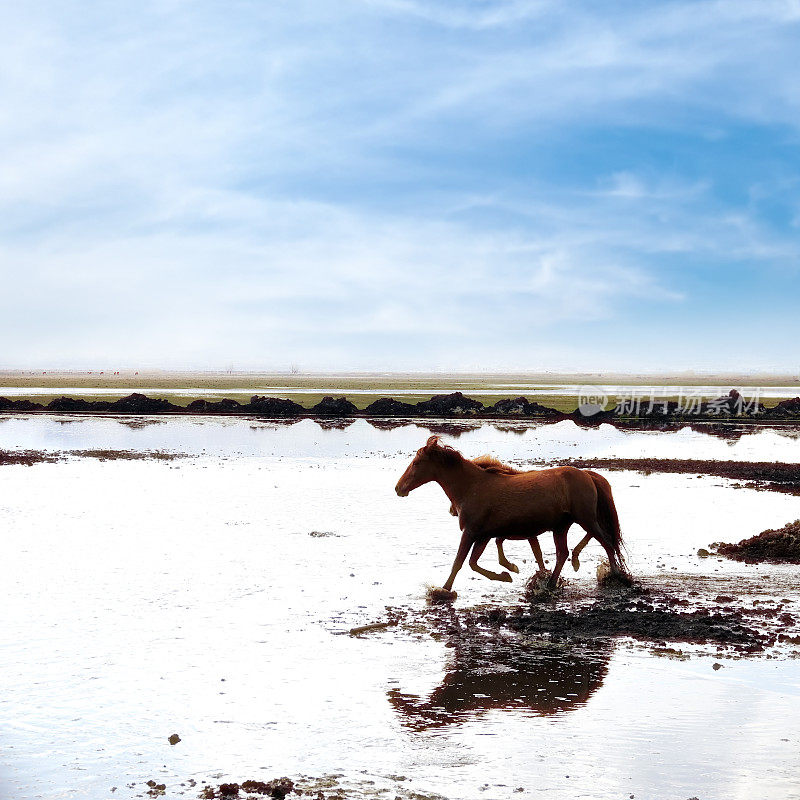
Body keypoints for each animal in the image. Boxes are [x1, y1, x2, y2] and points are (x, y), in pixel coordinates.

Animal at [396, 438, 628, 588]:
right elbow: (473, 563)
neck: (472, 487)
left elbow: (459, 562)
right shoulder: (485, 535)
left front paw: (443, 590)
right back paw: (550, 584)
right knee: (563, 553)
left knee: (607, 542)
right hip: (561, 526)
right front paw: (506, 574)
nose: (399, 488)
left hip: (586, 519)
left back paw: (616, 575)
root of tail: (587, 475)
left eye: (416, 463)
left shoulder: (471, 533)